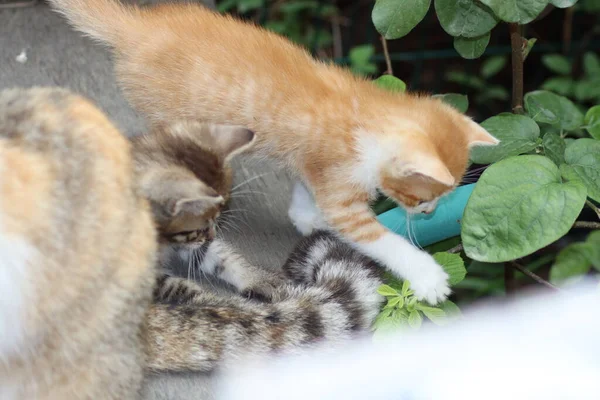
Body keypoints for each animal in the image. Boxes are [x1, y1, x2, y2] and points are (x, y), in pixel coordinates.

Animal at [51, 0, 502, 304]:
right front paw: (427, 276)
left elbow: (304, 187)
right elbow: (378, 238)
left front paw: (305, 216)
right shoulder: (342, 192)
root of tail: (137, 27)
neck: (366, 115)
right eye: (424, 197)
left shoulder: (312, 162)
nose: (430, 213)